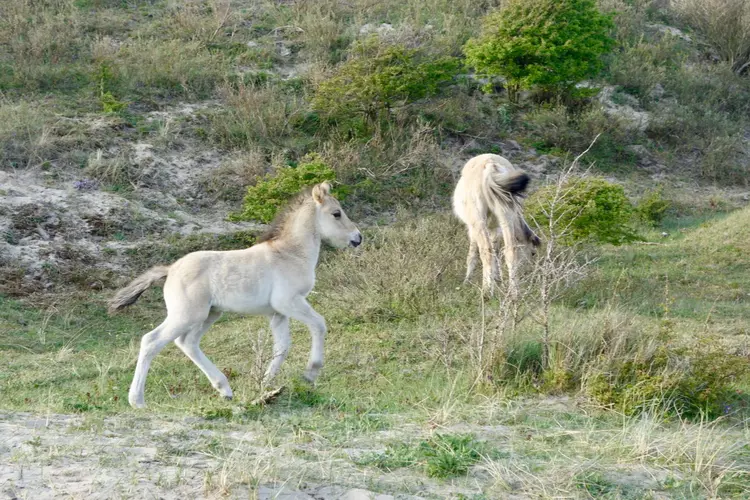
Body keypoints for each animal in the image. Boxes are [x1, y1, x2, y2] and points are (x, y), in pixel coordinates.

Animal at [108, 182, 362, 408]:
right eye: (336, 213)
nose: (358, 238)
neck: (289, 254)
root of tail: (171, 269)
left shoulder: (277, 313)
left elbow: (281, 347)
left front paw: (265, 384)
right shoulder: (289, 302)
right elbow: (319, 324)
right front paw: (310, 373)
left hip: (209, 314)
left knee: (187, 342)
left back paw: (224, 389)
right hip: (186, 315)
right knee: (151, 341)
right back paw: (137, 401)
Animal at [452, 152, 540, 292]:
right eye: (533, 253)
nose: (529, 273)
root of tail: (490, 165)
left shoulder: (473, 228)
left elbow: (473, 254)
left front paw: (467, 281)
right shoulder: (495, 229)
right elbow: (496, 252)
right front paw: (498, 280)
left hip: (478, 218)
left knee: (486, 251)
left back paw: (487, 291)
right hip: (505, 213)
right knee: (510, 250)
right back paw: (514, 292)